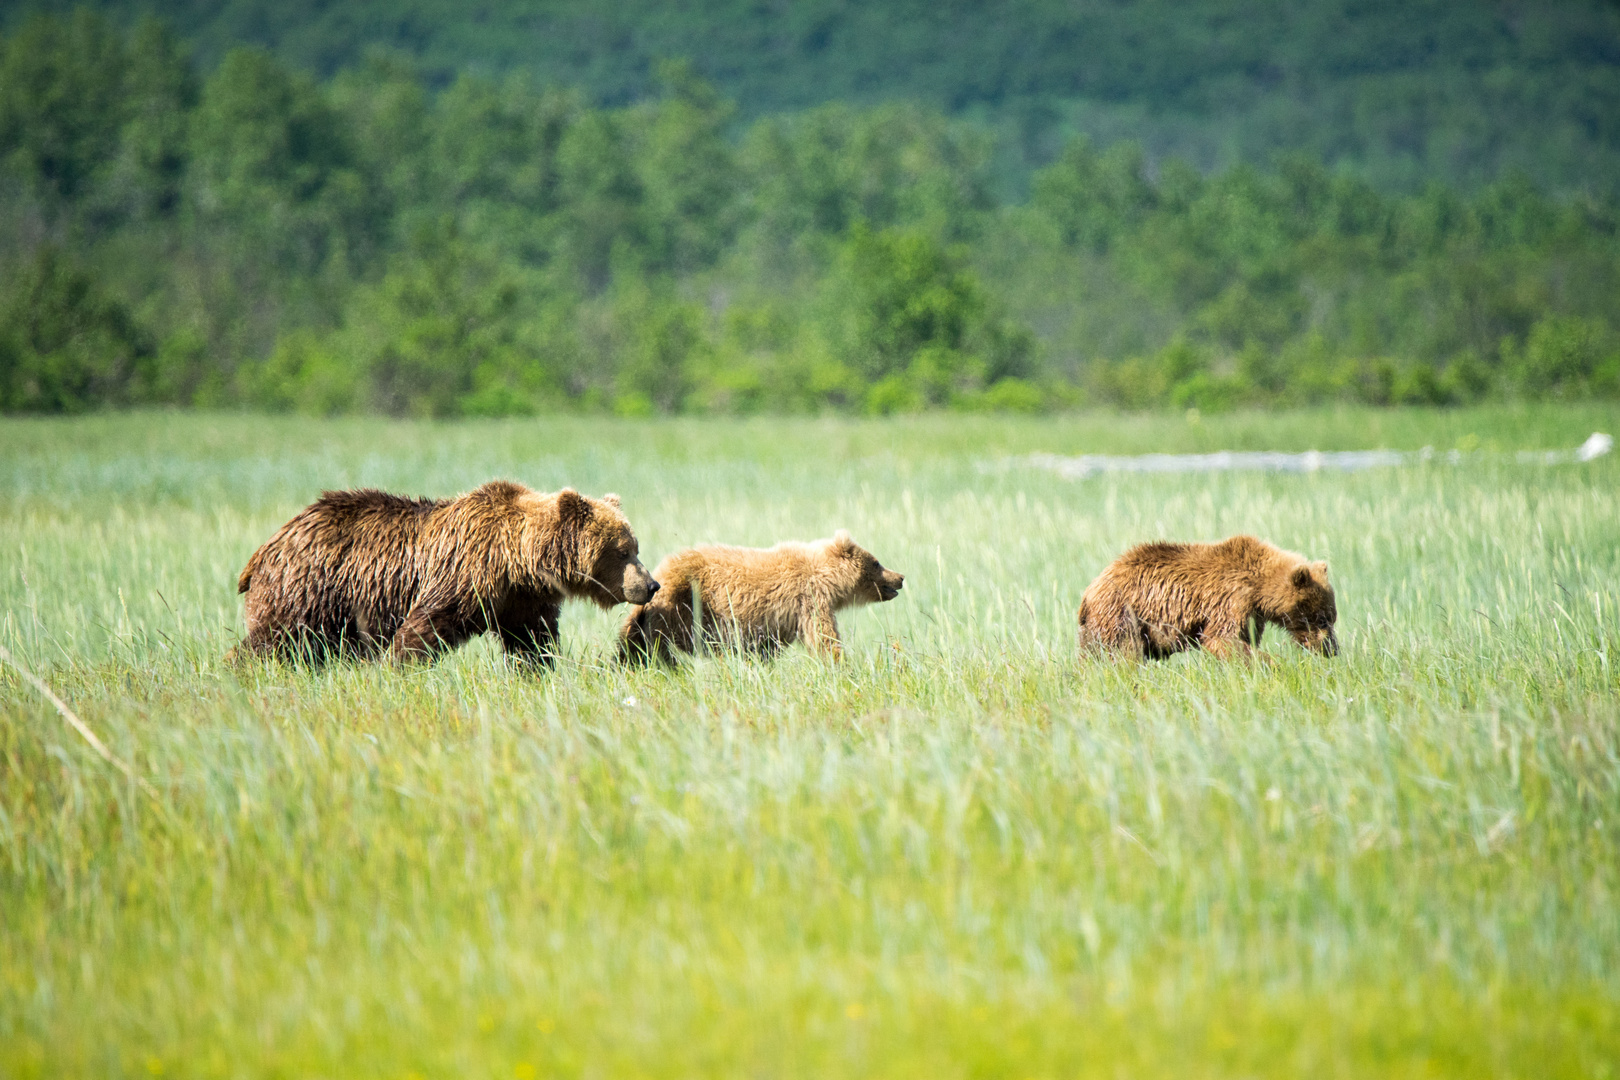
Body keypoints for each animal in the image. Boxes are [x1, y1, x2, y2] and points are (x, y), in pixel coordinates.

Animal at [233, 482, 657, 667]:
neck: (517, 561)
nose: (651, 585)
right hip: (310, 588)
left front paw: (537, 670)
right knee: (273, 638)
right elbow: (425, 625)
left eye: (634, 546)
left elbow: (531, 641)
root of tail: (271, 541)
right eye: (622, 551)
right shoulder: (464, 573)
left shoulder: (521, 600)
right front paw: (400, 667)